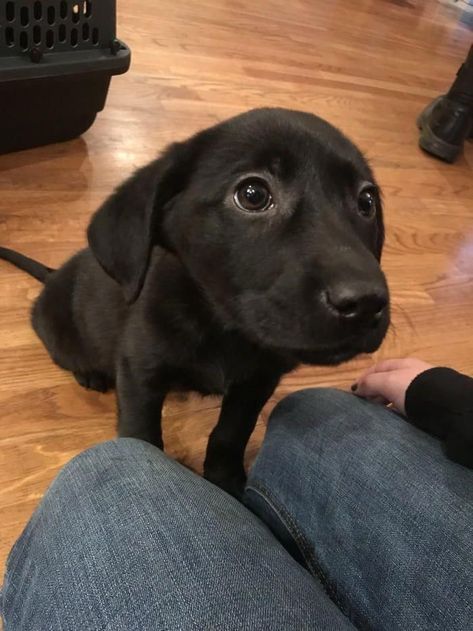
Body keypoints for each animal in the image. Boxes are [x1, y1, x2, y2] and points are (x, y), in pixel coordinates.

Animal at [1, 110, 390, 498]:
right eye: (252, 195)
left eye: (367, 202)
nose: (367, 302)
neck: (221, 327)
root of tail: (52, 275)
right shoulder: (138, 371)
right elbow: (141, 433)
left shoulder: (256, 383)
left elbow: (229, 434)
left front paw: (227, 482)